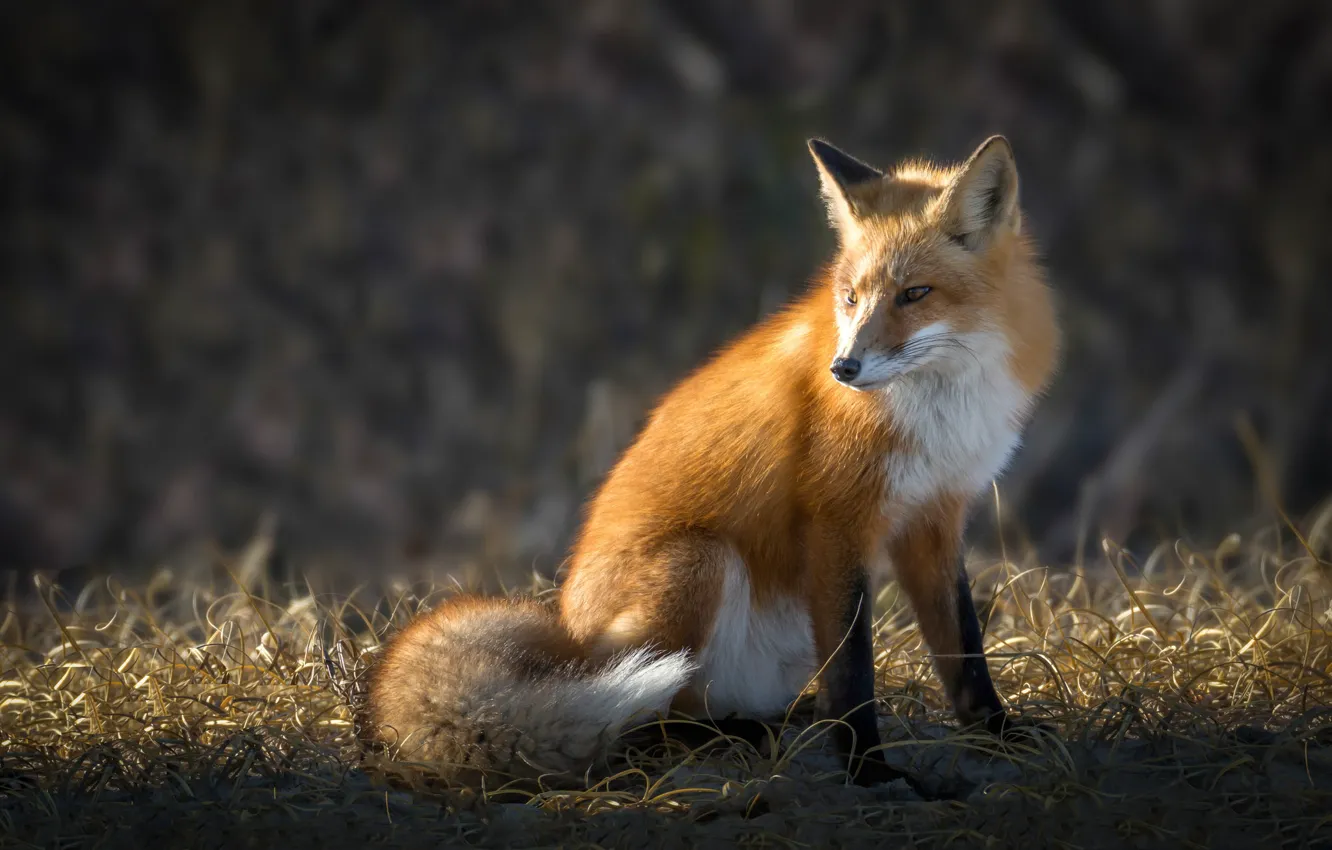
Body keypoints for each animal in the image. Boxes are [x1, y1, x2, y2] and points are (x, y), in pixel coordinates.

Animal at [365, 135, 1060, 788]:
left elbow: (963, 650)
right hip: (698, 564)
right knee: (638, 719)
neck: (939, 408)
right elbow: (852, 671)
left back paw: (767, 722)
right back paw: (725, 738)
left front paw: (997, 733)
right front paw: (867, 768)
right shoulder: (836, 524)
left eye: (915, 294)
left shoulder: (934, 518)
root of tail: (566, 630)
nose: (844, 368)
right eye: (851, 297)